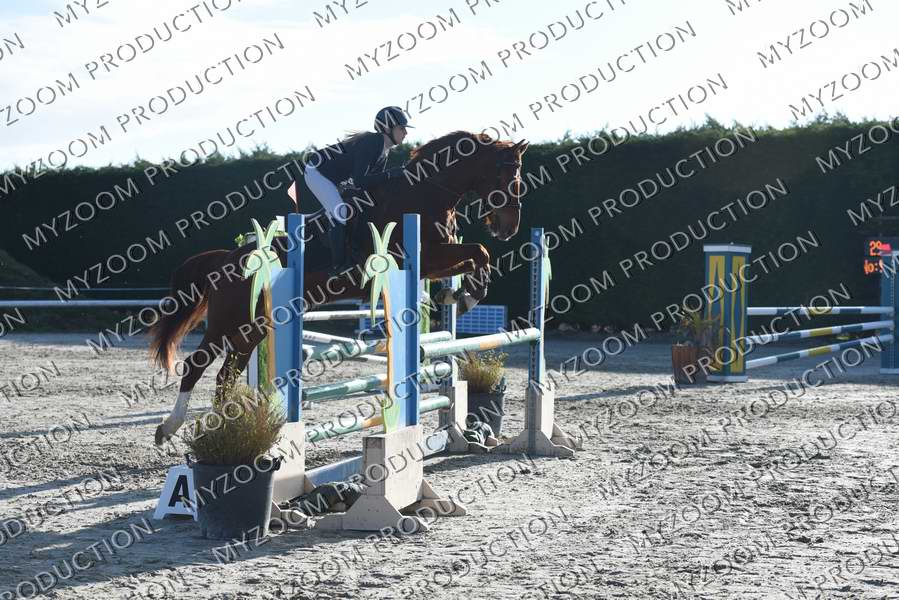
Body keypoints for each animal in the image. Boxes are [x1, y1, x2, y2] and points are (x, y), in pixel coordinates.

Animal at [149, 131, 530, 444]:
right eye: (507, 176)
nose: (509, 227)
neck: (424, 193)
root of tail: (228, 257)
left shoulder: (437, 261)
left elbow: (477, 256)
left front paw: (457, 296)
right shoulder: (424, 257)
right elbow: (479, 252)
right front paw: (465, 299)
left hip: (254, 326)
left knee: (225, 375)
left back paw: (223, 429)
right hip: (231, 319)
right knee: (197, 364)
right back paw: (170, 428)